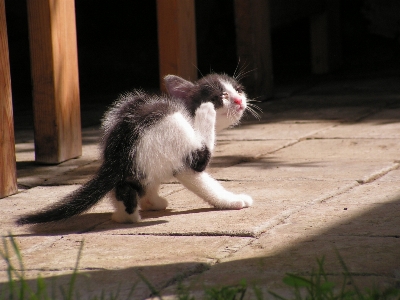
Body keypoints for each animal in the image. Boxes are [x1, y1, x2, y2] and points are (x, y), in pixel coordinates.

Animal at [16, 72, 260, 224]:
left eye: (239, 90)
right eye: (222, 95)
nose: (240, 101)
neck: (187, 110)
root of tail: (119, 149)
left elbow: (152, 184)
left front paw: (152, 201)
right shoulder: (184, 159)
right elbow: (204, 181)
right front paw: (232, 201)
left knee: (126, 185)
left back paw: (123, 214)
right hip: (171, 130)